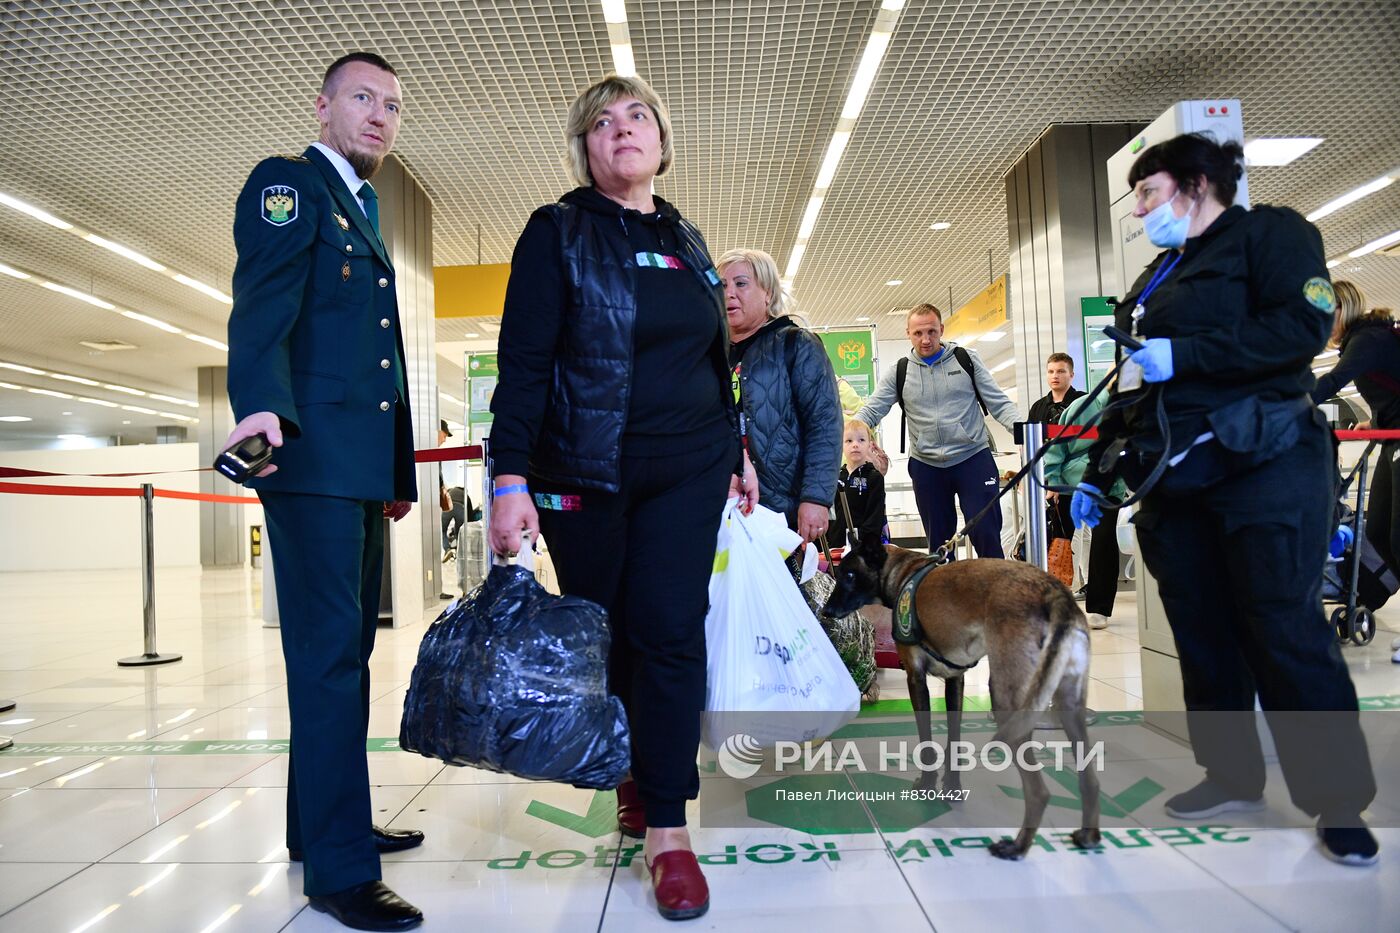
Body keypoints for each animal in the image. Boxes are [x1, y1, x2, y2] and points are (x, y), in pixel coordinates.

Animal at [817, 529, 1103, 857]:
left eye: (849, 574)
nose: (825, 611)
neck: (905, 572)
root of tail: (1054, 593)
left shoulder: (916, 679)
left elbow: (927, 742)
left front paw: (927, 785)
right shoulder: (956, 681)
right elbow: (952, 742)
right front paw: (951, 787)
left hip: (1007, 701)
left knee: (1039, 792)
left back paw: (1017, 847)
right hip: (1069, 705)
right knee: (1090, 780)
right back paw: (1088, 835)